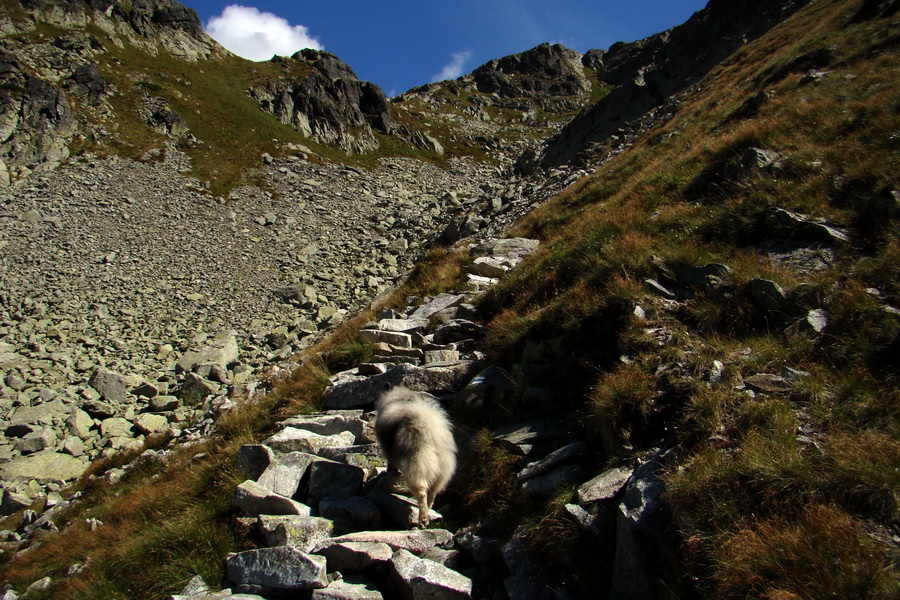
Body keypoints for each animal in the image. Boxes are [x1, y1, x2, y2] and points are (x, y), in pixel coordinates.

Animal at [374, 386, 458, 528]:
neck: (399, 399)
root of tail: (431, 430)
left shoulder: (390, 452)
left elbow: (392, 468)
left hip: (417, 464)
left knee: (422, 491)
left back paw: (422, 519)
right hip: (442, 470)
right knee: (432, 494)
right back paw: (428, 515)